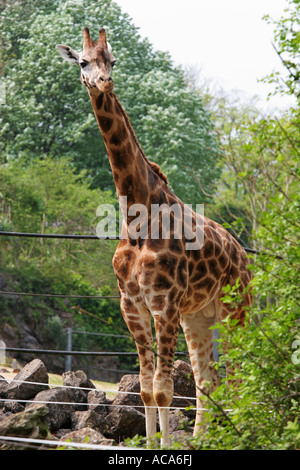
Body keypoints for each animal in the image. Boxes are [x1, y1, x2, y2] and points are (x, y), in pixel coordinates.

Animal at [55, 27, 251, 446]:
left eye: (112, 60)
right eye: (83, 61)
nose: (103, 81)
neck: (136, 212)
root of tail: (244, 257)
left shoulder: (164, 303)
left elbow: (163, 389)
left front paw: (162, 444)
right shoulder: (132, 304)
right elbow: (146, 388)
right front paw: (148, 443)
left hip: (235, 310)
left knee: (239, 378)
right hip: (199, 317)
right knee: (207, 380)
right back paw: (203, 440)